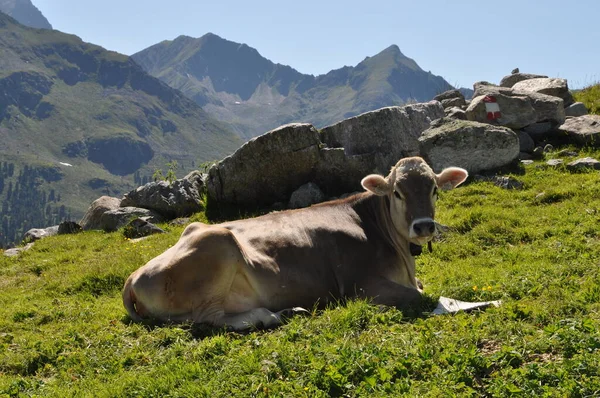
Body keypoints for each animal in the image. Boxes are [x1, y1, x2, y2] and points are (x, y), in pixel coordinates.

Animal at [123, 156, 468, 330]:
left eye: (434, 189)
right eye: (397, 192)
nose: (423, 225)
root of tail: (133, 276)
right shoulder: (362, 285)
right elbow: (419, 295)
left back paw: (290, 310)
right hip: (217, 242)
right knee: (209, 319)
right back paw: (268, 316)